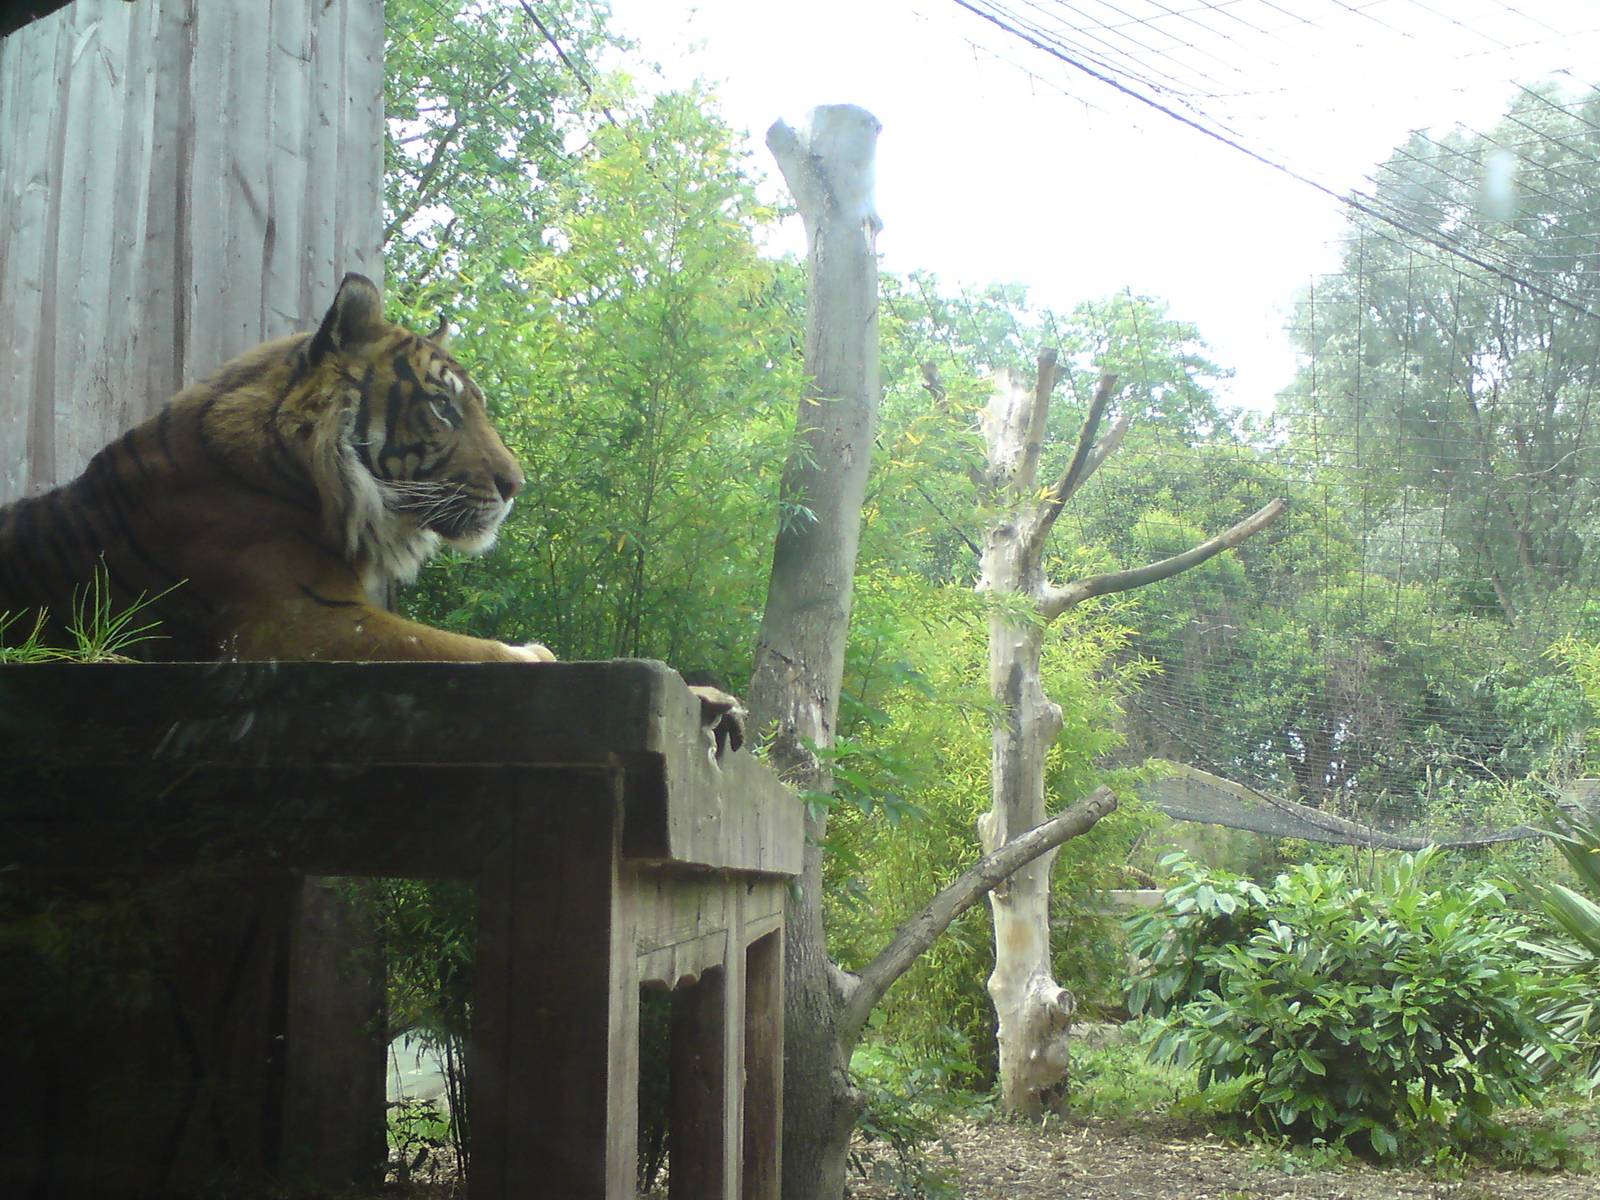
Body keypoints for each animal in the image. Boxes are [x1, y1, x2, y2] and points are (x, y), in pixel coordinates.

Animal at [0, 273, 743, 750]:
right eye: (443, 408)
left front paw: (710, 698)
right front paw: (534, 653)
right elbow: (468, 648)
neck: (291, 474)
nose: (516, 484)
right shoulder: (300, 624)